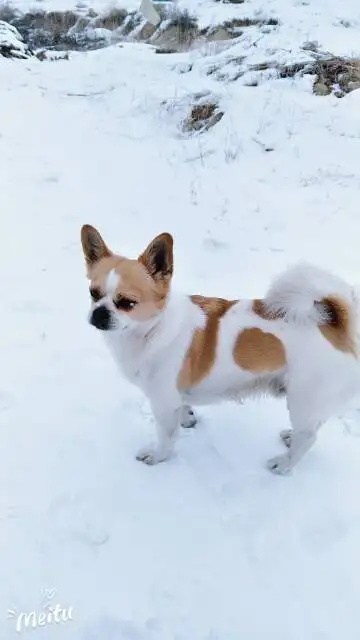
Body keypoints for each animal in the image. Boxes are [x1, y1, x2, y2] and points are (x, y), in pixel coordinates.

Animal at [80, 222, 360, 472]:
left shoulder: (163, 402)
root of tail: (335, 326)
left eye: (127, 303)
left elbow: (166, 436)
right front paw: (188, 418)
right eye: (93, 293)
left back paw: (283, 464)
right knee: (312, 427)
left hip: (303, 398)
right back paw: (291, 438)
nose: (99, 314)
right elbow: (182, 411)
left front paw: (158, 456)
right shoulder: (174, 398)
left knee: (309, 437)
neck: (154, 329)